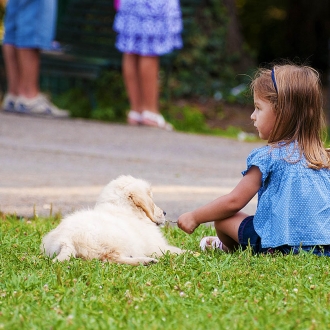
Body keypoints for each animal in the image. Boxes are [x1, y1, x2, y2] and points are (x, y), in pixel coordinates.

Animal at [40, 175, 183, 266]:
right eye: (151, 199)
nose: (165, 213)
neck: (124, 209)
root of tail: (65, 240)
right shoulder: (157, 247)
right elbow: (177, 251)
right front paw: (188, 253)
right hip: (116, 239)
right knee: (111, 259)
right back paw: (145, 261)